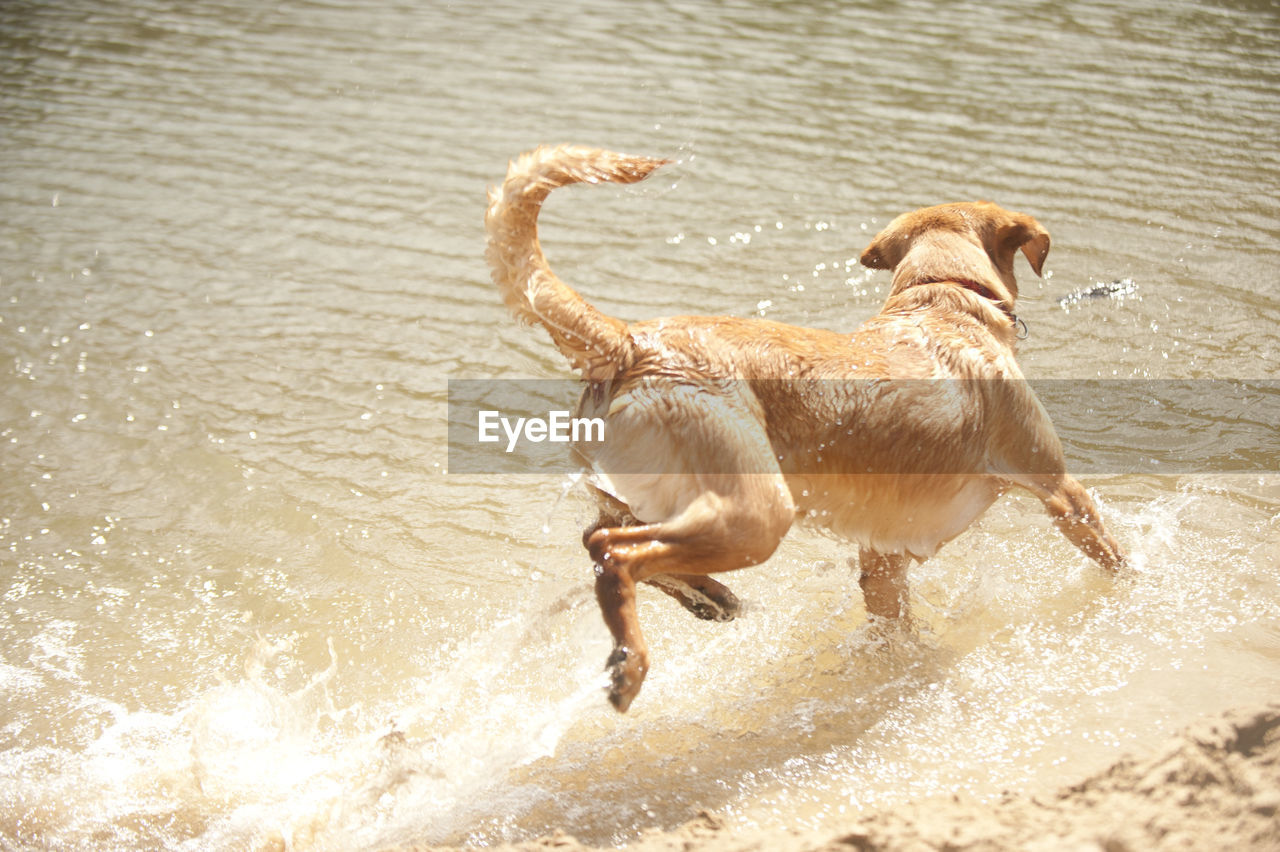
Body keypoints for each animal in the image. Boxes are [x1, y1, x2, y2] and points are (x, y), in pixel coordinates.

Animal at [483, 144, 1126, 711]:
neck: (939, 297)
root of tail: (629, 343)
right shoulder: (1058, 490)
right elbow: (1115, 557)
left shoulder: (884, 558)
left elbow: (893, 625)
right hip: (758, 514)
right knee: (614, 553)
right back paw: (633, 662)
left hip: (662, 500)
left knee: (603, 539)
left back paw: (710, 599)